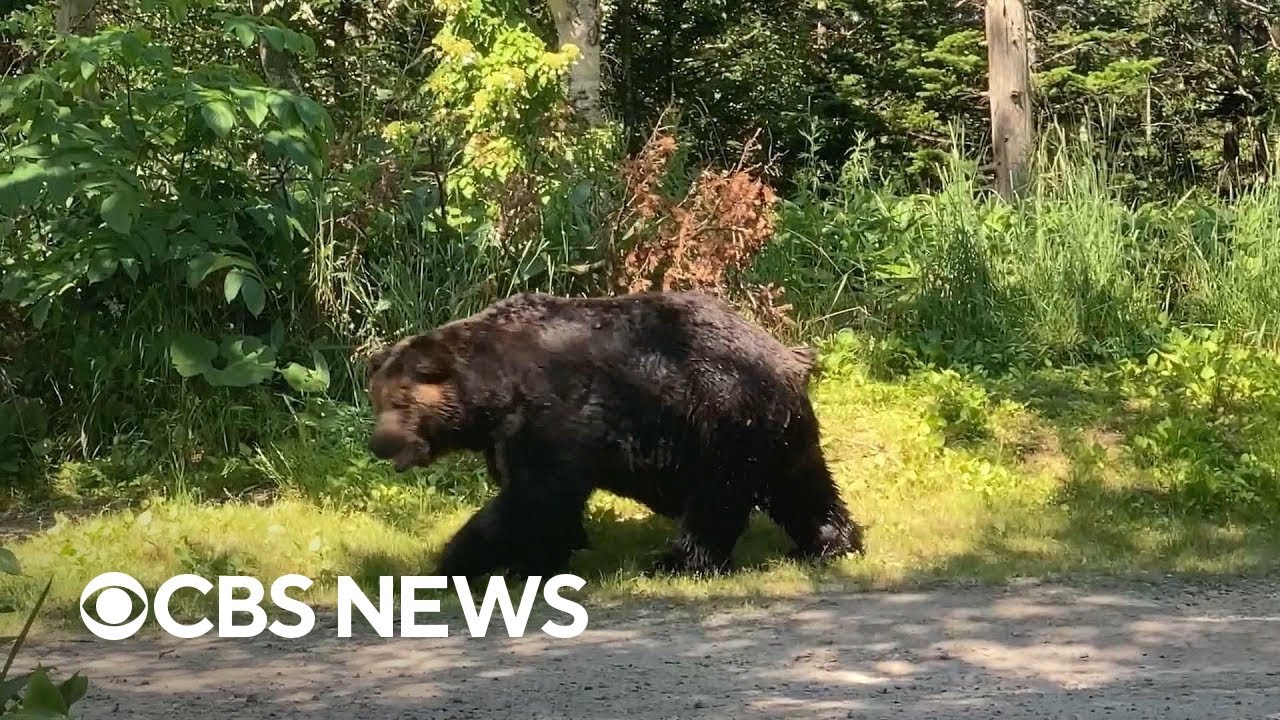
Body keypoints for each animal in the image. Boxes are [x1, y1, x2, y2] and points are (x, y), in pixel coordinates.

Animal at [364, 289, 864, 579]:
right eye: (377, 399)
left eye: (401, 403)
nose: (379, 442)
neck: (495, 391)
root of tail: (788, 355)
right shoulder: (513, 436)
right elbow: (540, 501)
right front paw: (541, 558)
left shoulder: (553, 415)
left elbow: (531, 499)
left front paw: (459, 559)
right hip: (777, 432)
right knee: (803, 487)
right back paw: (829, 544)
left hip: (720, 419)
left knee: (716, 501)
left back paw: (678, 562)